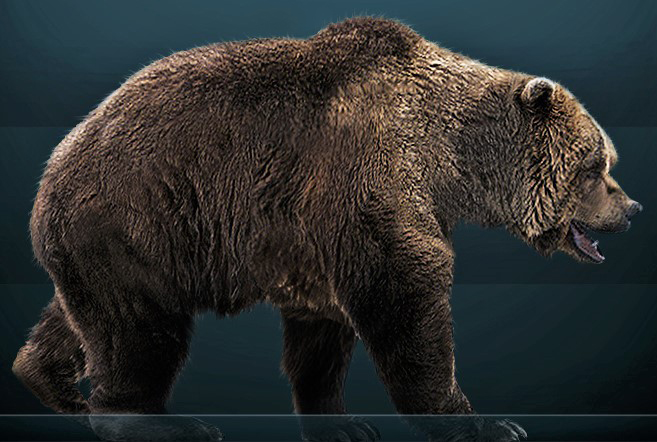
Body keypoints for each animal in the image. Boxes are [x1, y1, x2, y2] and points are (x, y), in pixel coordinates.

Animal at [13, 16, 642, 441]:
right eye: (595, 165)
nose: (633, 207)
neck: (453, 161)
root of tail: (53, 168)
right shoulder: (370, 183)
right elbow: (408, 302)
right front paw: (486, 423)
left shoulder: (310, 236)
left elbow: (320, 331)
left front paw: (342, 423)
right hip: (137, 220)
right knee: (140, 333)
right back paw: (167, 423)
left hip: (107, 248)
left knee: (85, 318)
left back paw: (50, 383)